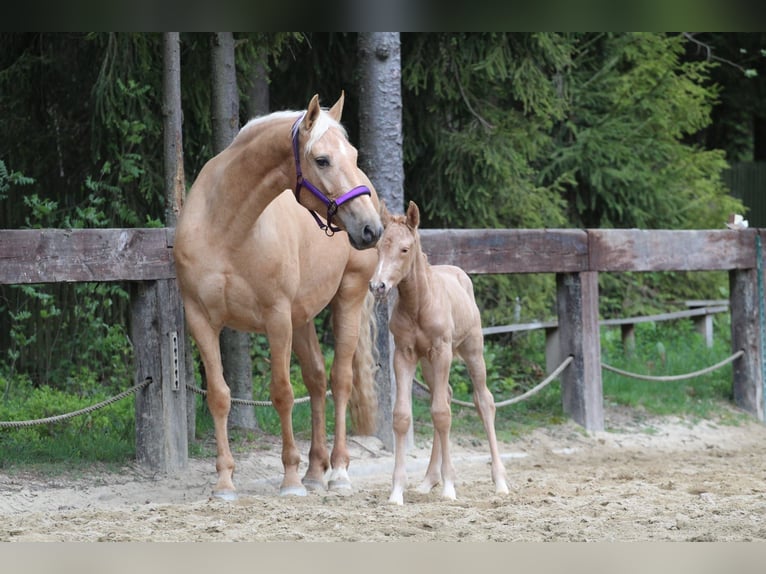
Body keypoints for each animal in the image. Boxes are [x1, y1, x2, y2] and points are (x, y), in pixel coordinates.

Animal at [372, 204, 510, 508]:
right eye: (378, 247)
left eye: (405, 249)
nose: (378, 286)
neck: (418, 304)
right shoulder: (405, 353)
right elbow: (403, 415)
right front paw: (397, 492)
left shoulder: (443, 350)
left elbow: (441, 414)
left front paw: (449, 487)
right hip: (427, 362)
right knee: (444, 394)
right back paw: (428, 481)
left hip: (473, 350)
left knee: (484, 401)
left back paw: (500, 482)